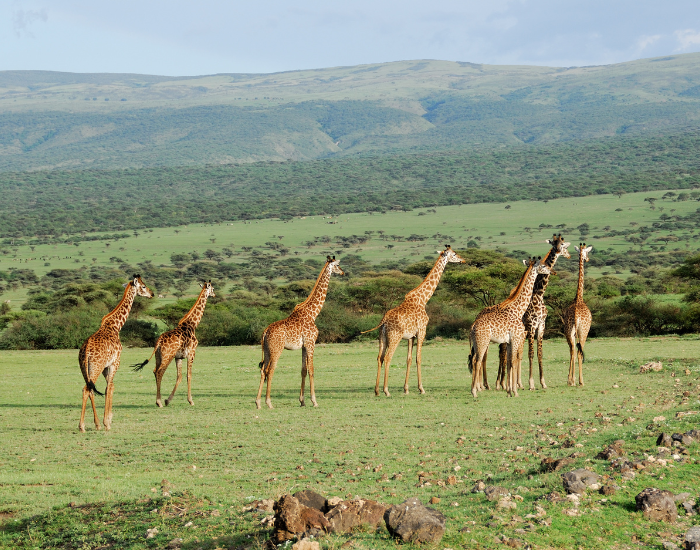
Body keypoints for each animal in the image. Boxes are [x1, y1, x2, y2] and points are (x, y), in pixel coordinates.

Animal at [78, 274, 154, 432]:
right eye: (143, 286)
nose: (152, 294)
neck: (116, 326)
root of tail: (86, 350)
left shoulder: (106, 367)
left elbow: (109, 388)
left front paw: (106, 421)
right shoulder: (115, 362)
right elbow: (110, 388)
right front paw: (108, 422)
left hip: (84, 369)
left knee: (89, 389)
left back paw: (96, 424)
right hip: (95, 367)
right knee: (87, 389)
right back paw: (82, 426)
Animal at [255, 256, 344, 409]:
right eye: (337, 265)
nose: (343, 272)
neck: (312, 313)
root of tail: (265, 332)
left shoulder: (303, 346)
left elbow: (303, 370)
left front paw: (302, 401)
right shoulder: (311, 343)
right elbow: (312, 370)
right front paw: (314, 401)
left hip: (266, 350)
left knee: (263, 371)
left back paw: (258, 403)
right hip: (276, 349)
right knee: (270, 371)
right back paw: (269, 403)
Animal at [361, 245, 465, 397]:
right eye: (455, 254)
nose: (463, 260)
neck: (423, 299)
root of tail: (384, 321)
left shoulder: (411, 336)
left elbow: (409, 359)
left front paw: (406, 389)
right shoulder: (422, 331)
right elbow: (418, 358)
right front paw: (421, 388)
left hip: (382, 338)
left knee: (379, 358)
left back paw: (377, 391)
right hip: (395, 337)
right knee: (387, 358)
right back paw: (386, 390)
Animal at [468, 258, 551, 398]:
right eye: (543, 265)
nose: (551, 270)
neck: (518, 309)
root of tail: (473, 326)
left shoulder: (509, 341)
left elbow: (509, 362)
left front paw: (509, 391)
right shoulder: (516, 338)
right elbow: (513, 362)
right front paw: (515, 391)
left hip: (477, 342)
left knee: (474, 360)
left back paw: (476, 388)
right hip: (483, 341)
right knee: (478, 361)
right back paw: (475, 391)